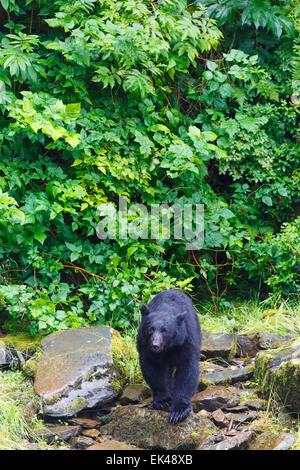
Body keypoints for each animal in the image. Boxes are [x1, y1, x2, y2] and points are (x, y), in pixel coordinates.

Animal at [137, 288, 200, 424]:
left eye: (165, 330)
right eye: (151, 328)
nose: (155, 345)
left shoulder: (186, 339)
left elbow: (187, 368)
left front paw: (179, 410)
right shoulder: (145, 345)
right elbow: (153, 368)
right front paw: (163, 400)